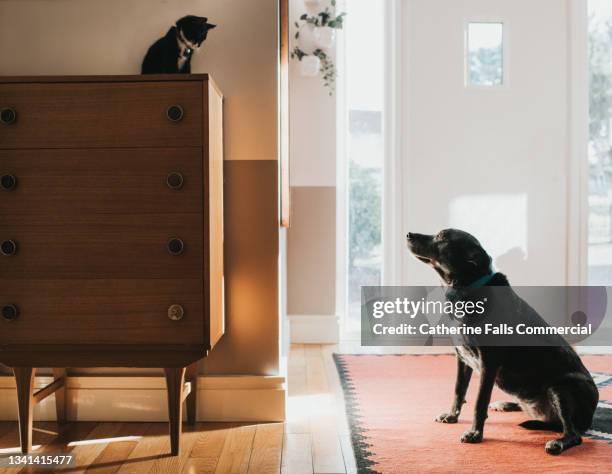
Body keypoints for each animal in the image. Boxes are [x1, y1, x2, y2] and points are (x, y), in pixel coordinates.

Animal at [406, 230, 596, 456]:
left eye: (442, 237)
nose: (408, 234)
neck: (466, 292)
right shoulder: (462, 358)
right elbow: (458, 390)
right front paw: (452, 416)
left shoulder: (489, 363)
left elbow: (479, 401)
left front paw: (475, 434)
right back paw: (506, 404)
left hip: (562, 388)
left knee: (574, 434)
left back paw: (558, 442)